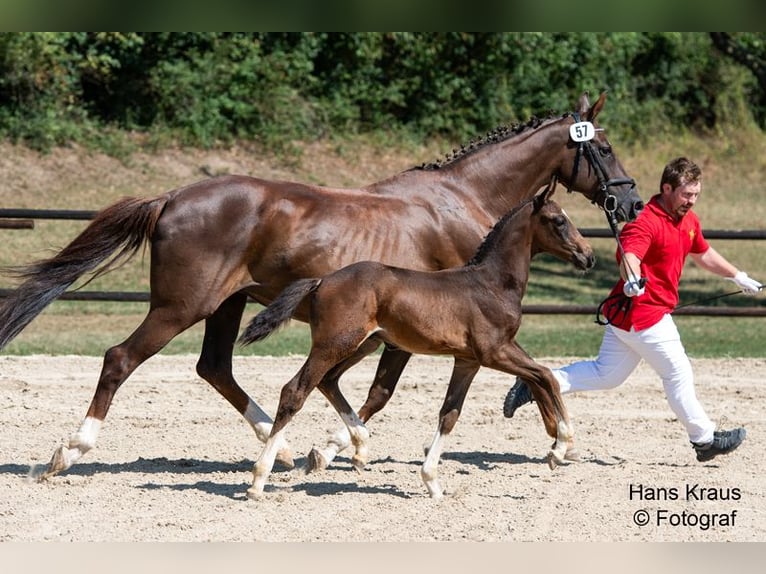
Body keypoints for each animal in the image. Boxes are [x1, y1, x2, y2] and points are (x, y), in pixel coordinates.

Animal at [0, 93, 640, 482]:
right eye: (604, 147)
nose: (631, 203)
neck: (461, 201)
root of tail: (172, 197)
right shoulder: (421, 333)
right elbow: (379, 392)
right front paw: (333, 449)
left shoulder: (397, 333)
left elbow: (362, 390)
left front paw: (329, 448)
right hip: (180, 306)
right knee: (121, 358)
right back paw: (70, 451)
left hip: (227, 306)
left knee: (215, 368)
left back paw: (277, 447)